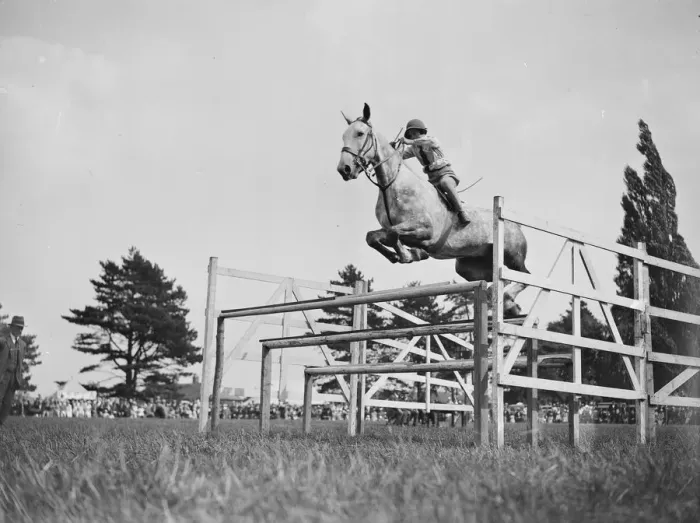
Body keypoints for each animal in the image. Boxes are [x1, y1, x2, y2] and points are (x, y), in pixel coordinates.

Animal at [336, 103, 530, 317]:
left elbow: (393, 233)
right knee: (495, 280)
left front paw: (408, 255)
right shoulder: (392, 229)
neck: (391, 185)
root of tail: (516, 225)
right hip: (469, 267)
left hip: (512, 256)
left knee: (523, 276)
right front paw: (402, 255)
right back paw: (511, 305)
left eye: (360, 133)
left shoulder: (425, 230)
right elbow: (373, 236)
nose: (344, 169)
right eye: (343, 136)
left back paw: (509, 299)